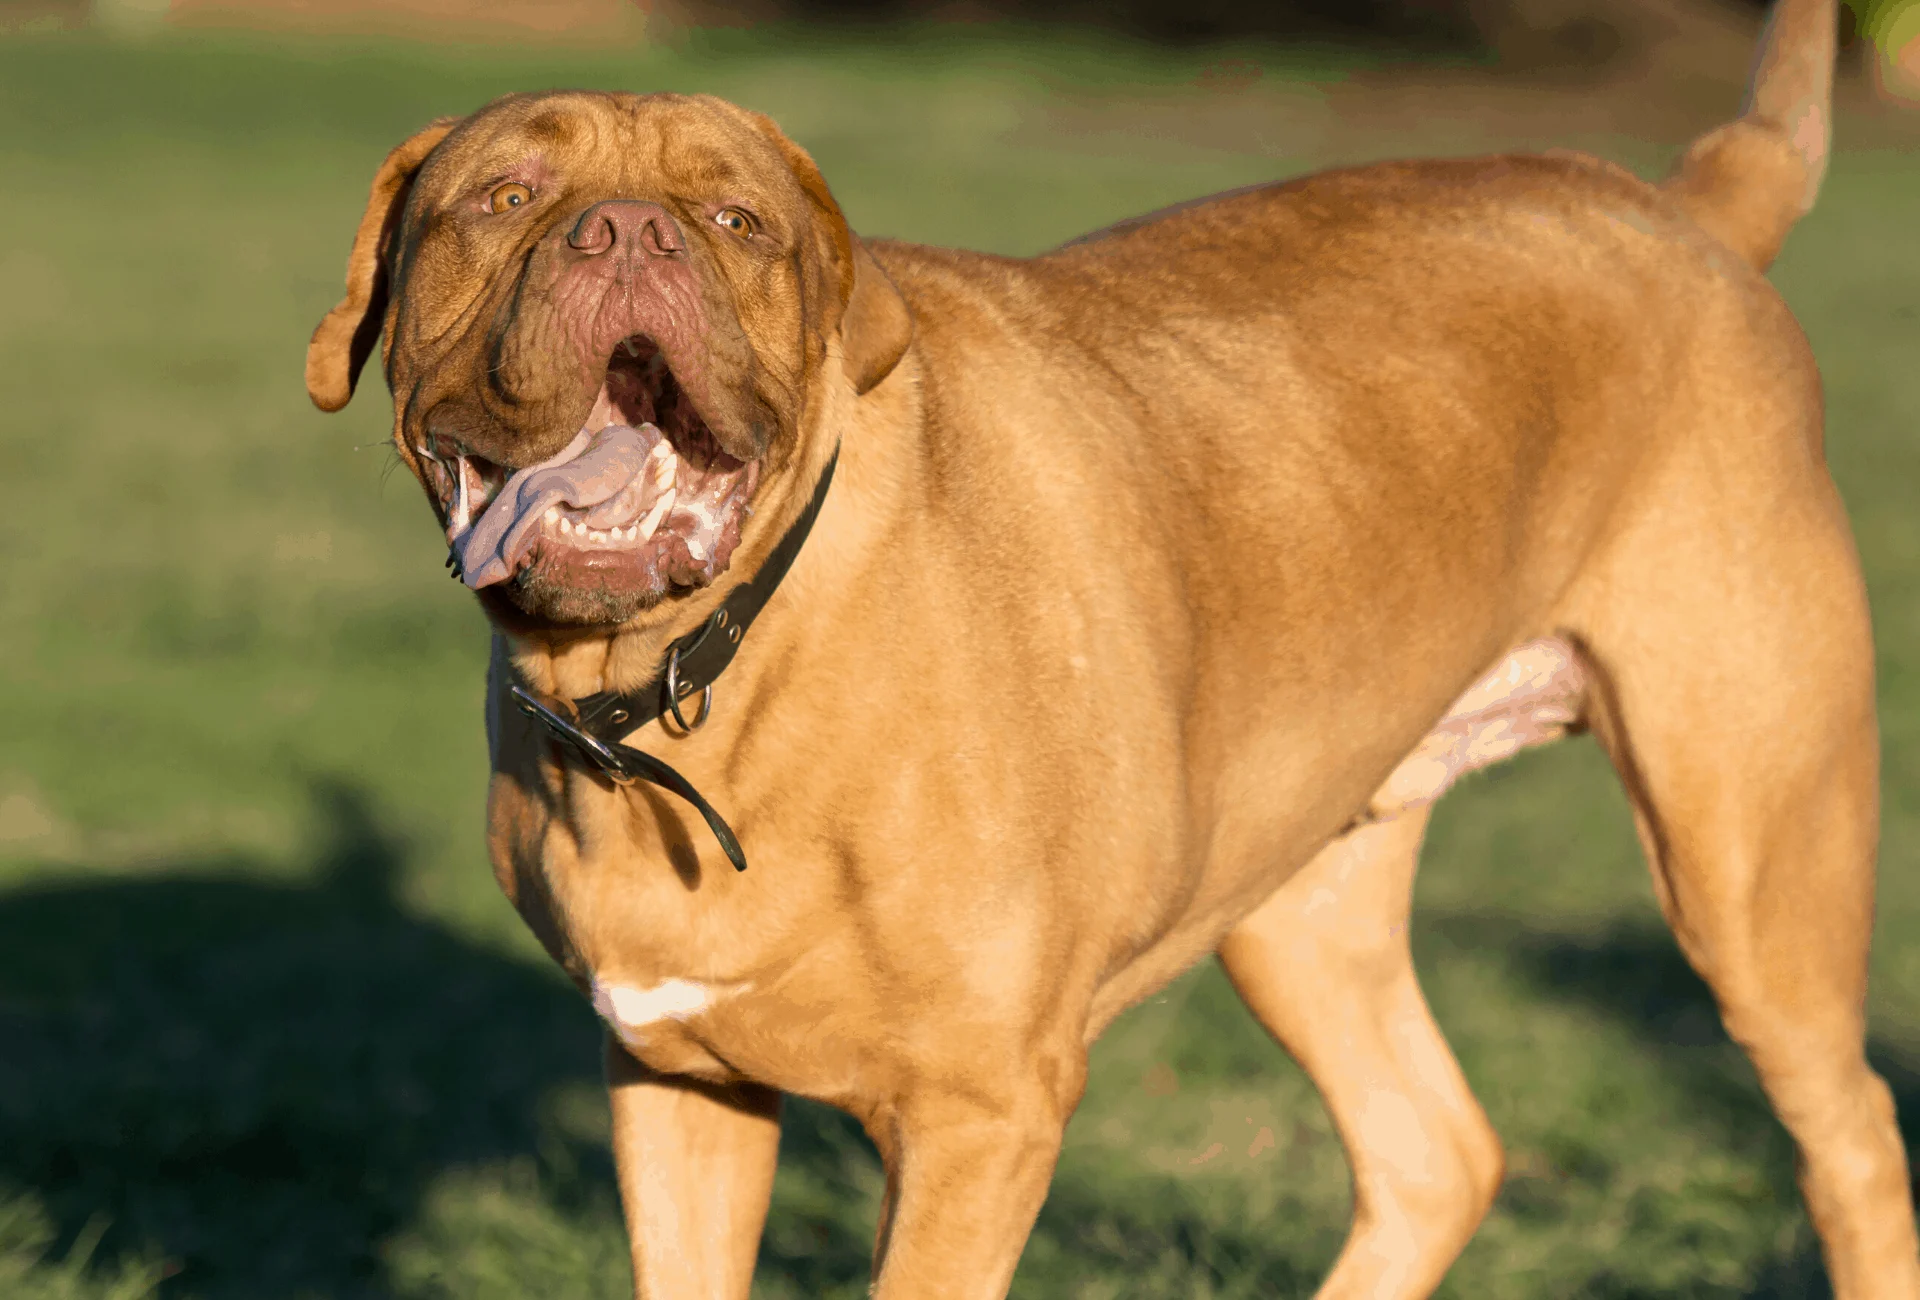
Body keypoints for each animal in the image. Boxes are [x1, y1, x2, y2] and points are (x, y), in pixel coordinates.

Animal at [303, 5, 1920, 1290]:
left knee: (1851, 1135)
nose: (626, 231)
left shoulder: (976, 1120)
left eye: (738, 223)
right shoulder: (674, 1080)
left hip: (1754, 856)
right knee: (1434, 1154)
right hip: (1300, 891)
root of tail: (1690, 204)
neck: (686, 681)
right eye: (503, 195)